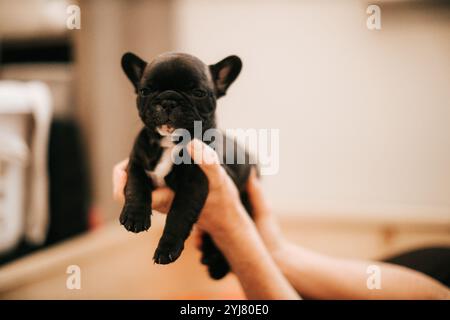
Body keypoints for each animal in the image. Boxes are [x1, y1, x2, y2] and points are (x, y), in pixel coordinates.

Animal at [119, 51, 255, 278]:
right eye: (145, 91)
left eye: (198, 93)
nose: (168, 101)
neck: (169, 143)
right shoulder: (136, 162)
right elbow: (135, 186)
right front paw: (135, 215)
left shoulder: (195, 182)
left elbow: (179, 214)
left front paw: (167, 248)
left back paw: (218, 265)